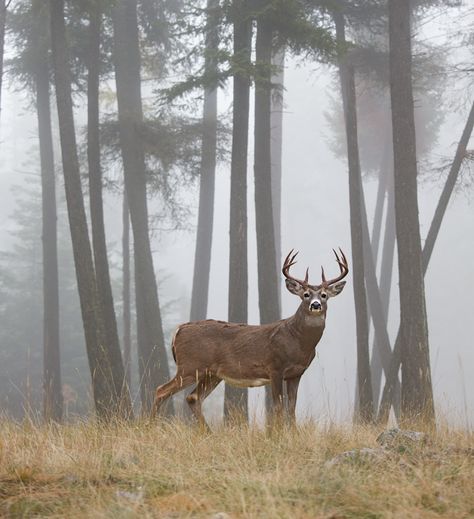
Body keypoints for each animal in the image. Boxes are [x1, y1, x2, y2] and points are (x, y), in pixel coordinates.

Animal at [152, 249, 348, 426]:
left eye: (324, 295)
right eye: (305, 295)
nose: (315, 305)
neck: (298, 342)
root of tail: (179, 329)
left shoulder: (296, 374)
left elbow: (292, 408)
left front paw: (293, 433)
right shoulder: (275, 367)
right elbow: (278, 407)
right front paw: (277, 434)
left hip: (212, 374)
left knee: (193, 398)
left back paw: (207, 432)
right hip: (191, 366)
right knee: (161, 390)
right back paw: (152, 425)